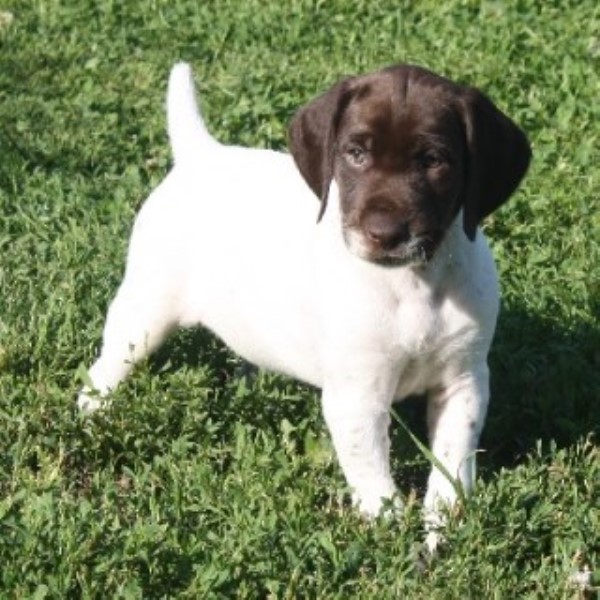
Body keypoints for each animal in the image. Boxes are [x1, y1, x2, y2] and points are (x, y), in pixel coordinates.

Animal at [79, 63, 528, 552]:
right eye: (355, 153)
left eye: (434, 161)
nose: (384, 233)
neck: (413, 283)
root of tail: (201, 154)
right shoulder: (357, 396)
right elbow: (371, 471)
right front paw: (387, 531)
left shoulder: (463, 380)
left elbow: (454, 461)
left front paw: (444, 525)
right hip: (143, 312)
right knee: (102, 374)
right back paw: (93, 418)